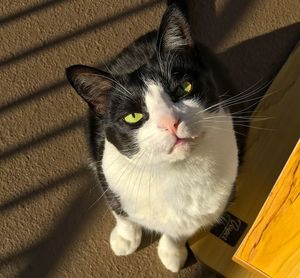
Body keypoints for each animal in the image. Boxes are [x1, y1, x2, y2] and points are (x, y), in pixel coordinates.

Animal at [66, 3, 239, 272]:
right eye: (133, 116)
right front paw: (125, 238)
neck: (173, 174)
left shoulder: (209, 205)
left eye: (184, 87)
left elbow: (178, 231)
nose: (171, 123)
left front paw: (172, 253)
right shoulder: (107, 174)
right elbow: (121, 212)